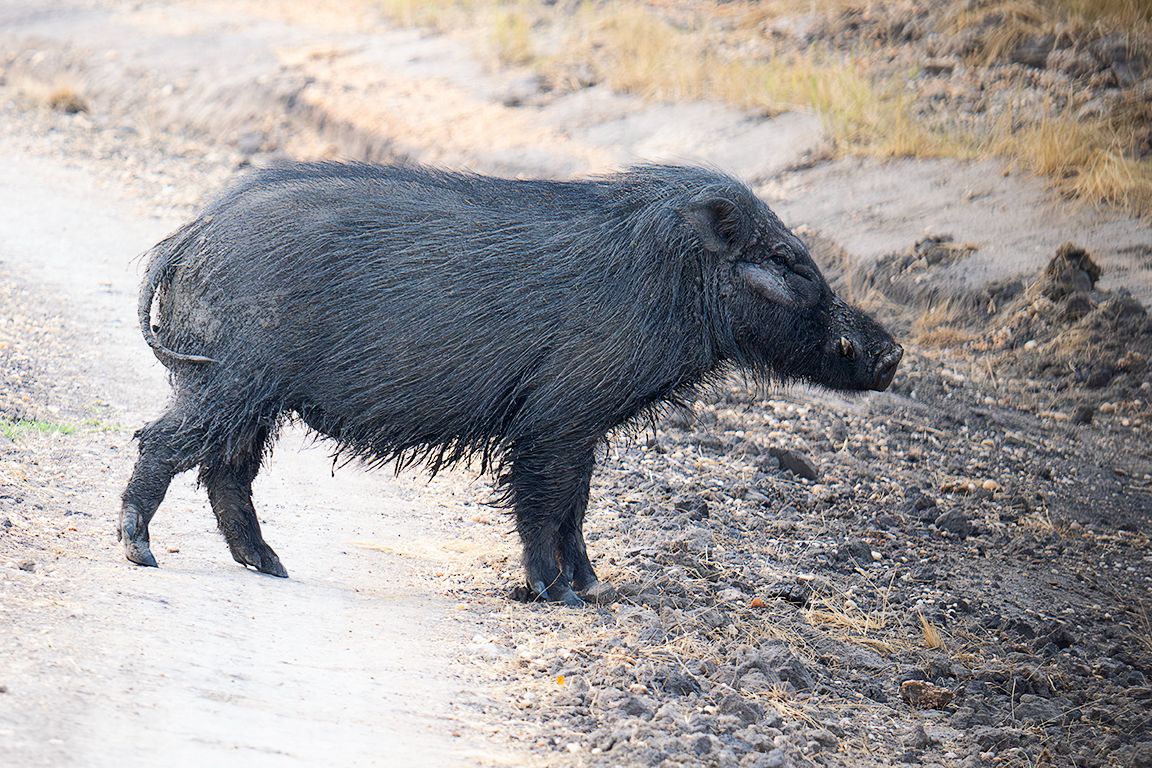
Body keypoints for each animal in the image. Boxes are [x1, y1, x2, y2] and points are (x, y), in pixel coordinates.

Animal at [120, 162, 902, 606]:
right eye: (788, 262)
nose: (891, 353)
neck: (672, 280)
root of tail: (191, 234)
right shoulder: (557, 417)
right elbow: (544, 503)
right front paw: (557, 596)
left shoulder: (580, 424)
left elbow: (576, 506)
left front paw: (593, 591)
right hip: (229, 381)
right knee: (162, 443)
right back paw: (141, 553)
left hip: (248, 396)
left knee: (225, 471)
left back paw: (273, 569)